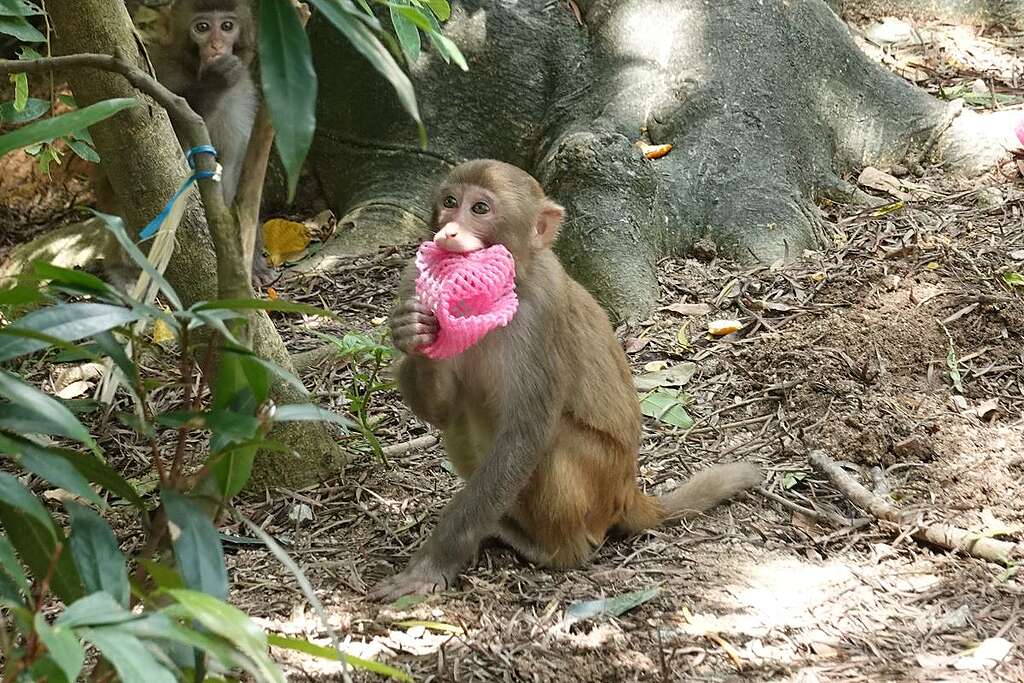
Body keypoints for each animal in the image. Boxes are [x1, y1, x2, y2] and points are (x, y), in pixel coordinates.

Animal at [374, 158, 761, 598]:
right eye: (450, 202)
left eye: (480, 209)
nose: (448, 231)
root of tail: (628, 489)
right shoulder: (412, 277)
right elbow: (444, 412)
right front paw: (413, 329)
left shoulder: (544, 312)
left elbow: (525, 435)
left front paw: (433, 564)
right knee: (463, 420)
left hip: (600, 485)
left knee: (552, 441)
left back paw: (555, 550)